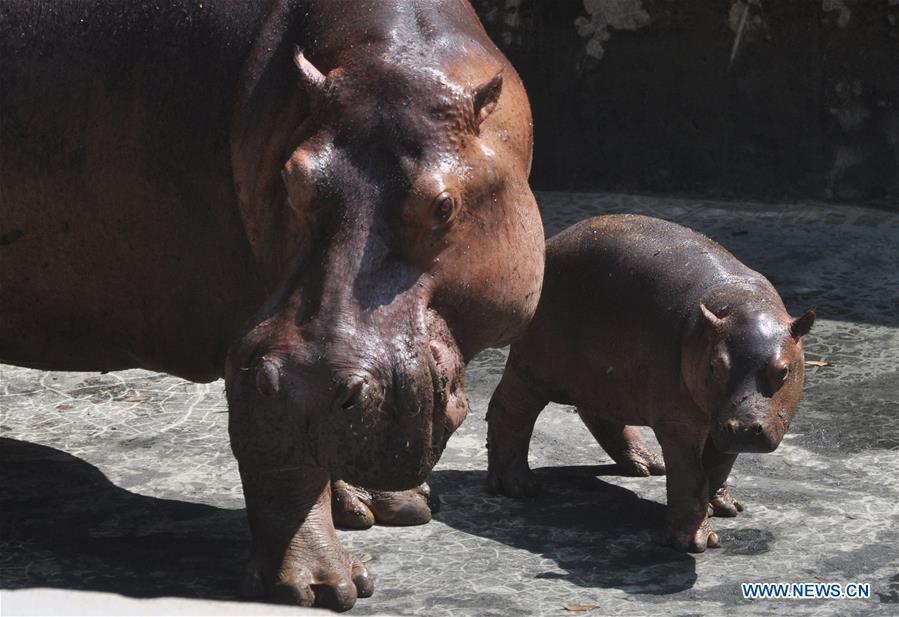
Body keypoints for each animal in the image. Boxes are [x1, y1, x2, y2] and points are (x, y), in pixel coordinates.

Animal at [0, 0, 544, 609]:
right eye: (292, 179)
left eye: (443, 205)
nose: (310, 389)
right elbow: (286, 473)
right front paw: (321, 587)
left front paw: (385, 506)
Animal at [486, 215, 814, 553]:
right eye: (715, 366)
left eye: (783, 371)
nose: (745, 428)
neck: (740, 302)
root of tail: (551, 242)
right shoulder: (679, 422)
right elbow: (689, 476)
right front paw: (694, 541)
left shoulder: (724, 423)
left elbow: (720, 464)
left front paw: (724, 508)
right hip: (533, 369)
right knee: (510, 410)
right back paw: (518, 486)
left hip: (608, 377)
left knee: (599, 416)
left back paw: (648, 465)